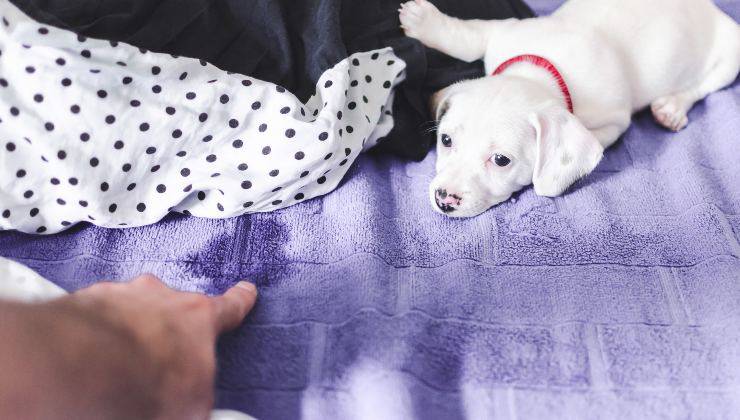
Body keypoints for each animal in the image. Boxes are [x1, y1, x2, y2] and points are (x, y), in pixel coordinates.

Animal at [398, 0, 740, 218]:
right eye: (446, 140)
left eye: (501, 160)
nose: (443, 199)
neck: (541, 72)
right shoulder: (504, 31)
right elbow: (470, 39)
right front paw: (427, 23)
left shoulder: (613, 122)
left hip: (730, 55)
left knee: (703, 86)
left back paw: (672, 107)